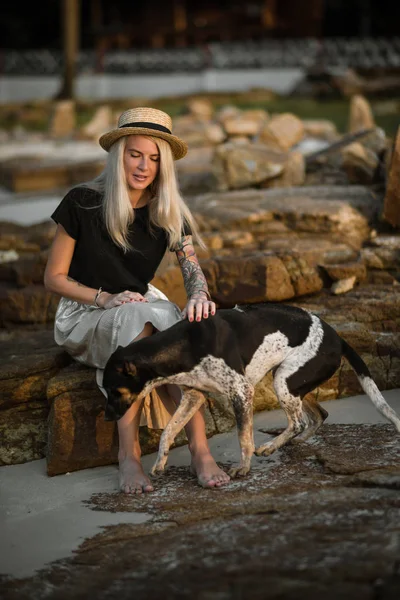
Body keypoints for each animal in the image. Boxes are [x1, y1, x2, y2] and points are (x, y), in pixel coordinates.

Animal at [102, 304, 400, 478]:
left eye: (114, 390)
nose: (107, 418)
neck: (184, 345)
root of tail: (338, 337)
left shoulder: (241, 392)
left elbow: (244, 437)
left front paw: (243, 468)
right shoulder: (193, 395)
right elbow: (168, 432)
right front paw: (159, 464)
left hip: (284, 382)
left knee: (298, 422)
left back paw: (271, 446)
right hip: (291, 382)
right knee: (318, 416)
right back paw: (294, 442)